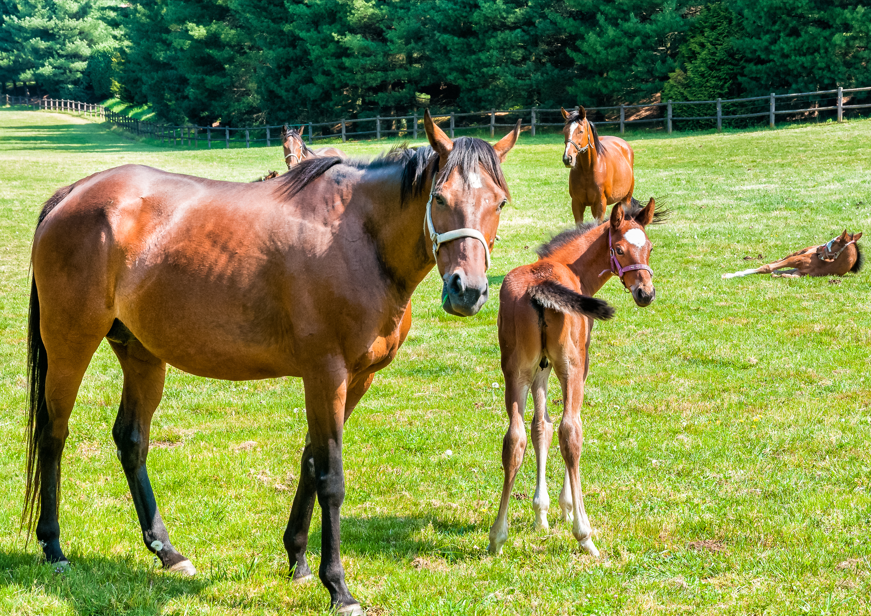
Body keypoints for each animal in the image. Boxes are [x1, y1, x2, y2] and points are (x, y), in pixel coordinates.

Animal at [24, 110, 521, 615]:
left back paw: (167, 552)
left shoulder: (356, 379)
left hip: (141, 354)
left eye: (500, 201)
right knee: (53, 434)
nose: (467, 290)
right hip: (69, 345)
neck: (358, 238)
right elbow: (331, 477)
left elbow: (310, 461)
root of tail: (73, 194)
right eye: (439, 197)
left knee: (131, 441)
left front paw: (298, 559)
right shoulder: (326, 374)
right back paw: (53, 547)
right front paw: (338, 587)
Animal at [488, 199, 660, 558]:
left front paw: (540, 514)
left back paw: (497, 536)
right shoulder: (580, 363)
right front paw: (566, 508)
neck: (570, 268)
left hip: (515, 370)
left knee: (514, 438)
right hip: (571, 365)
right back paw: (585, 535)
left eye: (649, 247)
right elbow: (566, 427)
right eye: (619, 249)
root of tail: (539, 285)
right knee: (571, 431)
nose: (645, 293)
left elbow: (540, 427)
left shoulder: (540, 367)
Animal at [722, 230, 863, 279]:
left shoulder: (799, 273)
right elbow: (767, 267)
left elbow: (787, 274)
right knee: (775, 262)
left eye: (834, 240)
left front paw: (779, 275)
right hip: (795, 254)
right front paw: (729, 275)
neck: (824, 265)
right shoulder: (794, 260)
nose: (818, 249)